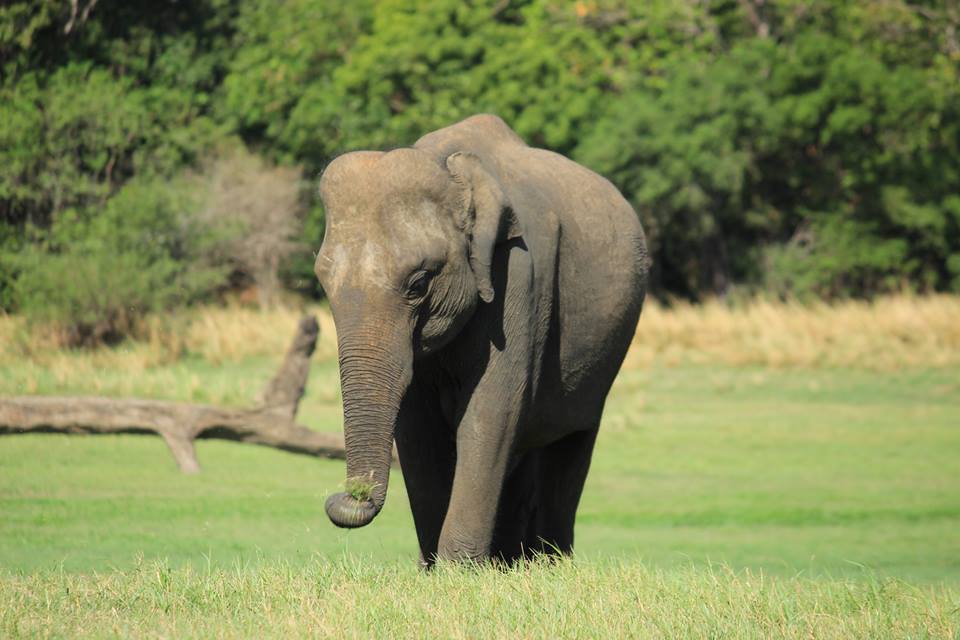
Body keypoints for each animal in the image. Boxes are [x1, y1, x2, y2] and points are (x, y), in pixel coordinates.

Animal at [316, 115, 644, 564]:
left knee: (571, 444)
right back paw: (512, 562)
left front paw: (457, 569)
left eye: (419, 283)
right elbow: (417, 430)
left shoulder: (519, 275)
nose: (347, 497)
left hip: (606, 354)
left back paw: (549, 561)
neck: (447, 164)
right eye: (322, 283)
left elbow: (490, 412)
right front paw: (435, 568)